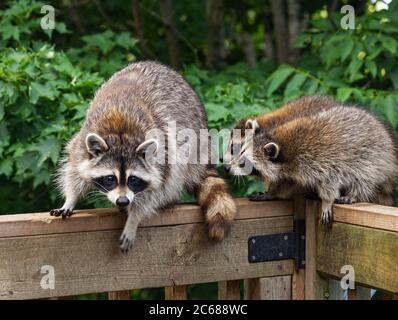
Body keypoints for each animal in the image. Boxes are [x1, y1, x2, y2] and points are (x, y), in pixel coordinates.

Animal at [50, 61, 236, 254]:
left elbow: (156, 189)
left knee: (177, 169)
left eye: (133, 179)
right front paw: (70, 199)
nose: (122, 200)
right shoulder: (81, 143)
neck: (120, 133)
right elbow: (74, 172)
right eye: (110, 178)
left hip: (192, 141)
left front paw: (134, 217)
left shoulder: (162, 153)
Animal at [225, 98, 396, 225]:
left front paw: (327, 201)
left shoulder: (322, 160)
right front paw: (272, 193)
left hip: (372, 156)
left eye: (243, 161)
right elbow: (285, 182)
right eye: (239, 151)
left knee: (364, 177)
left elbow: (330, 181)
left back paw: (356, 194)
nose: (227, 168)